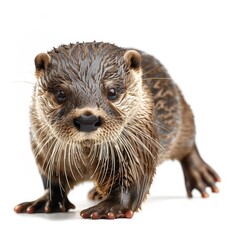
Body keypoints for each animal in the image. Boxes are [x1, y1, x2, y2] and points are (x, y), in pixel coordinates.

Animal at [13, 41, 220, 219]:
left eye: (112, 92)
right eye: (60, 95)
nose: (87, 119)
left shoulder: (138, 146)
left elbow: (134, 180)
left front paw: (109, 207)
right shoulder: (44, 150)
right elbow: (53, 180)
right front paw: (47, 201)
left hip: (182, 116)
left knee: (188, 143)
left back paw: (201, 176)